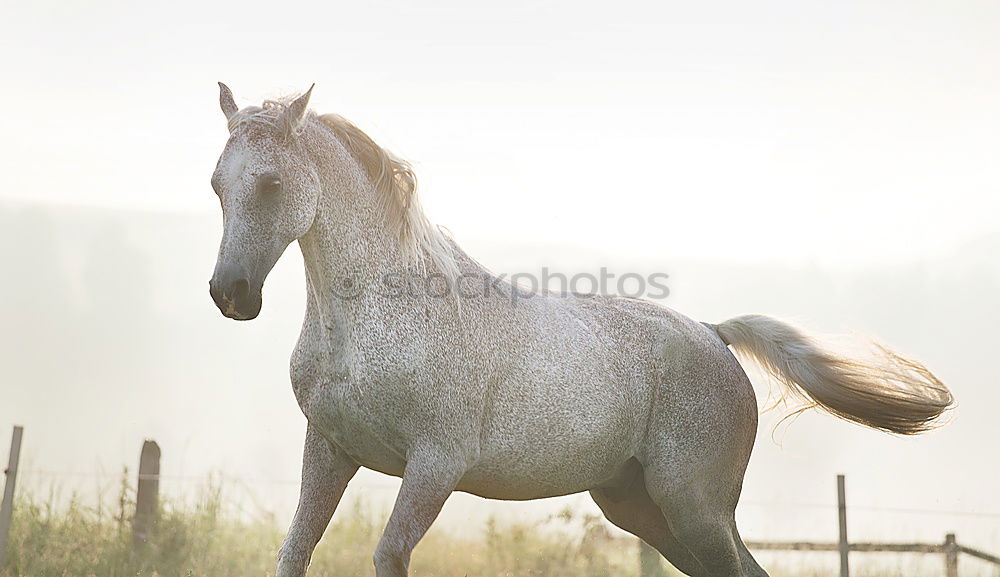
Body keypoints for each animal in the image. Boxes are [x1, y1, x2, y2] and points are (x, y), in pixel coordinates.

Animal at [209, 82, 952, 576]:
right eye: (218, 183)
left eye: (270, 183)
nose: (230, 295)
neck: (373, 322)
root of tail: (713, 335)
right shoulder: (329, 450)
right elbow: (294, 552)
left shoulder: (434, 465)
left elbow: (389, 553)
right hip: (644, 508)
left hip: (695, 504)